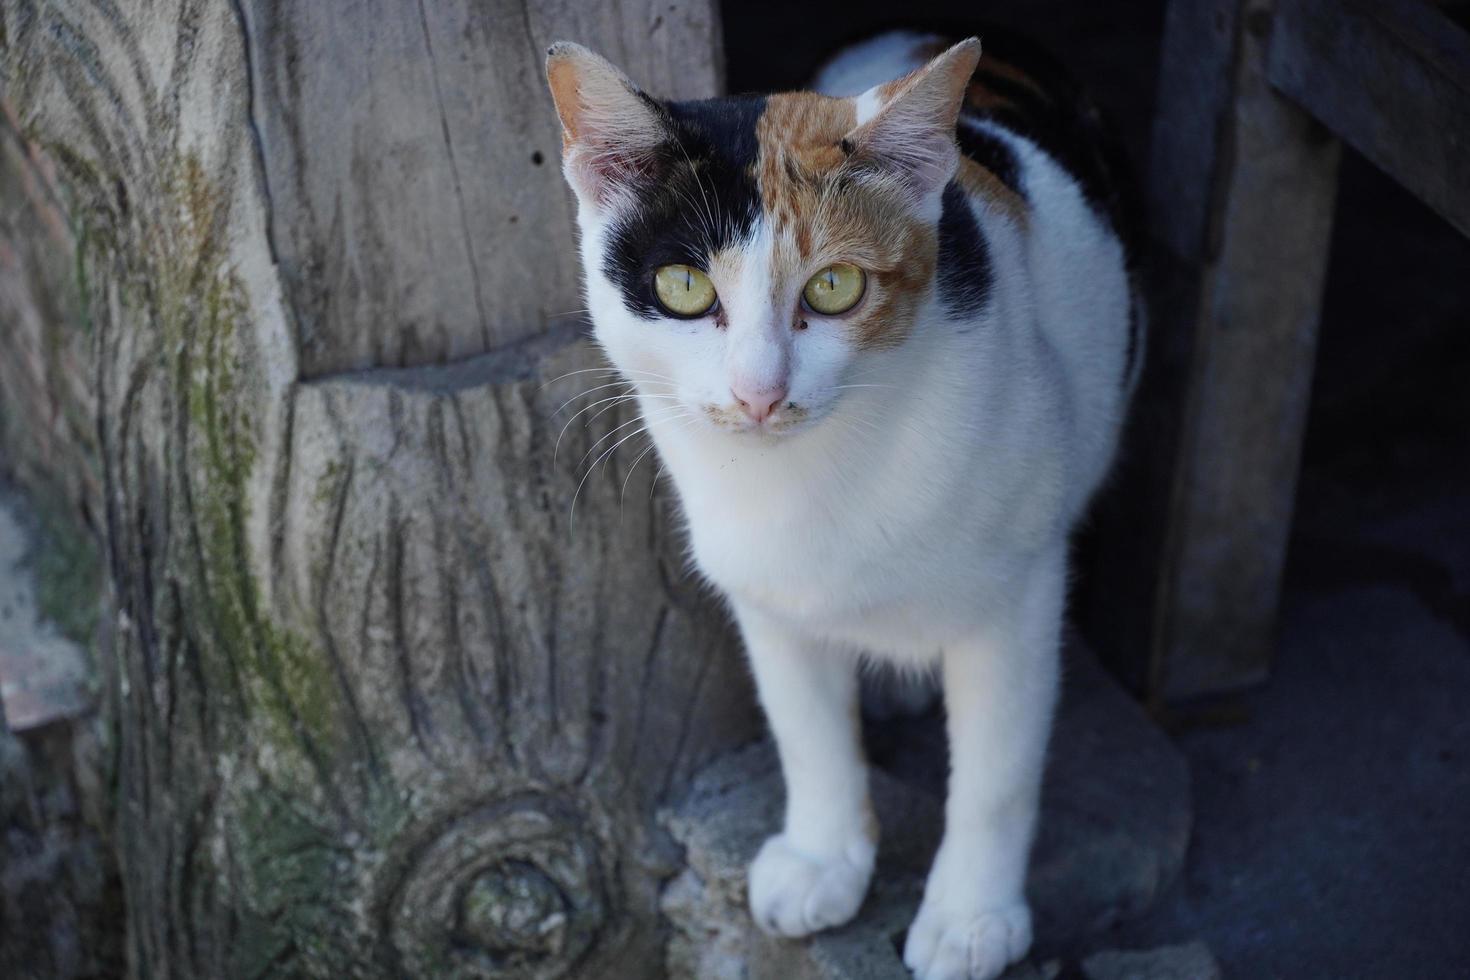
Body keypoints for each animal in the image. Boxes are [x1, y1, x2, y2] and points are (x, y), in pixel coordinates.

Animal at [546, 28, 1140, 980]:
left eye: (833, 288)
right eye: (683, 288)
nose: (758, 392)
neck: (809, 479)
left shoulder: (1018, 599)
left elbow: (997, 772)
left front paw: (971, 919)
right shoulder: (767, 598)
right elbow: (806, 733)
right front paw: (823, 859)